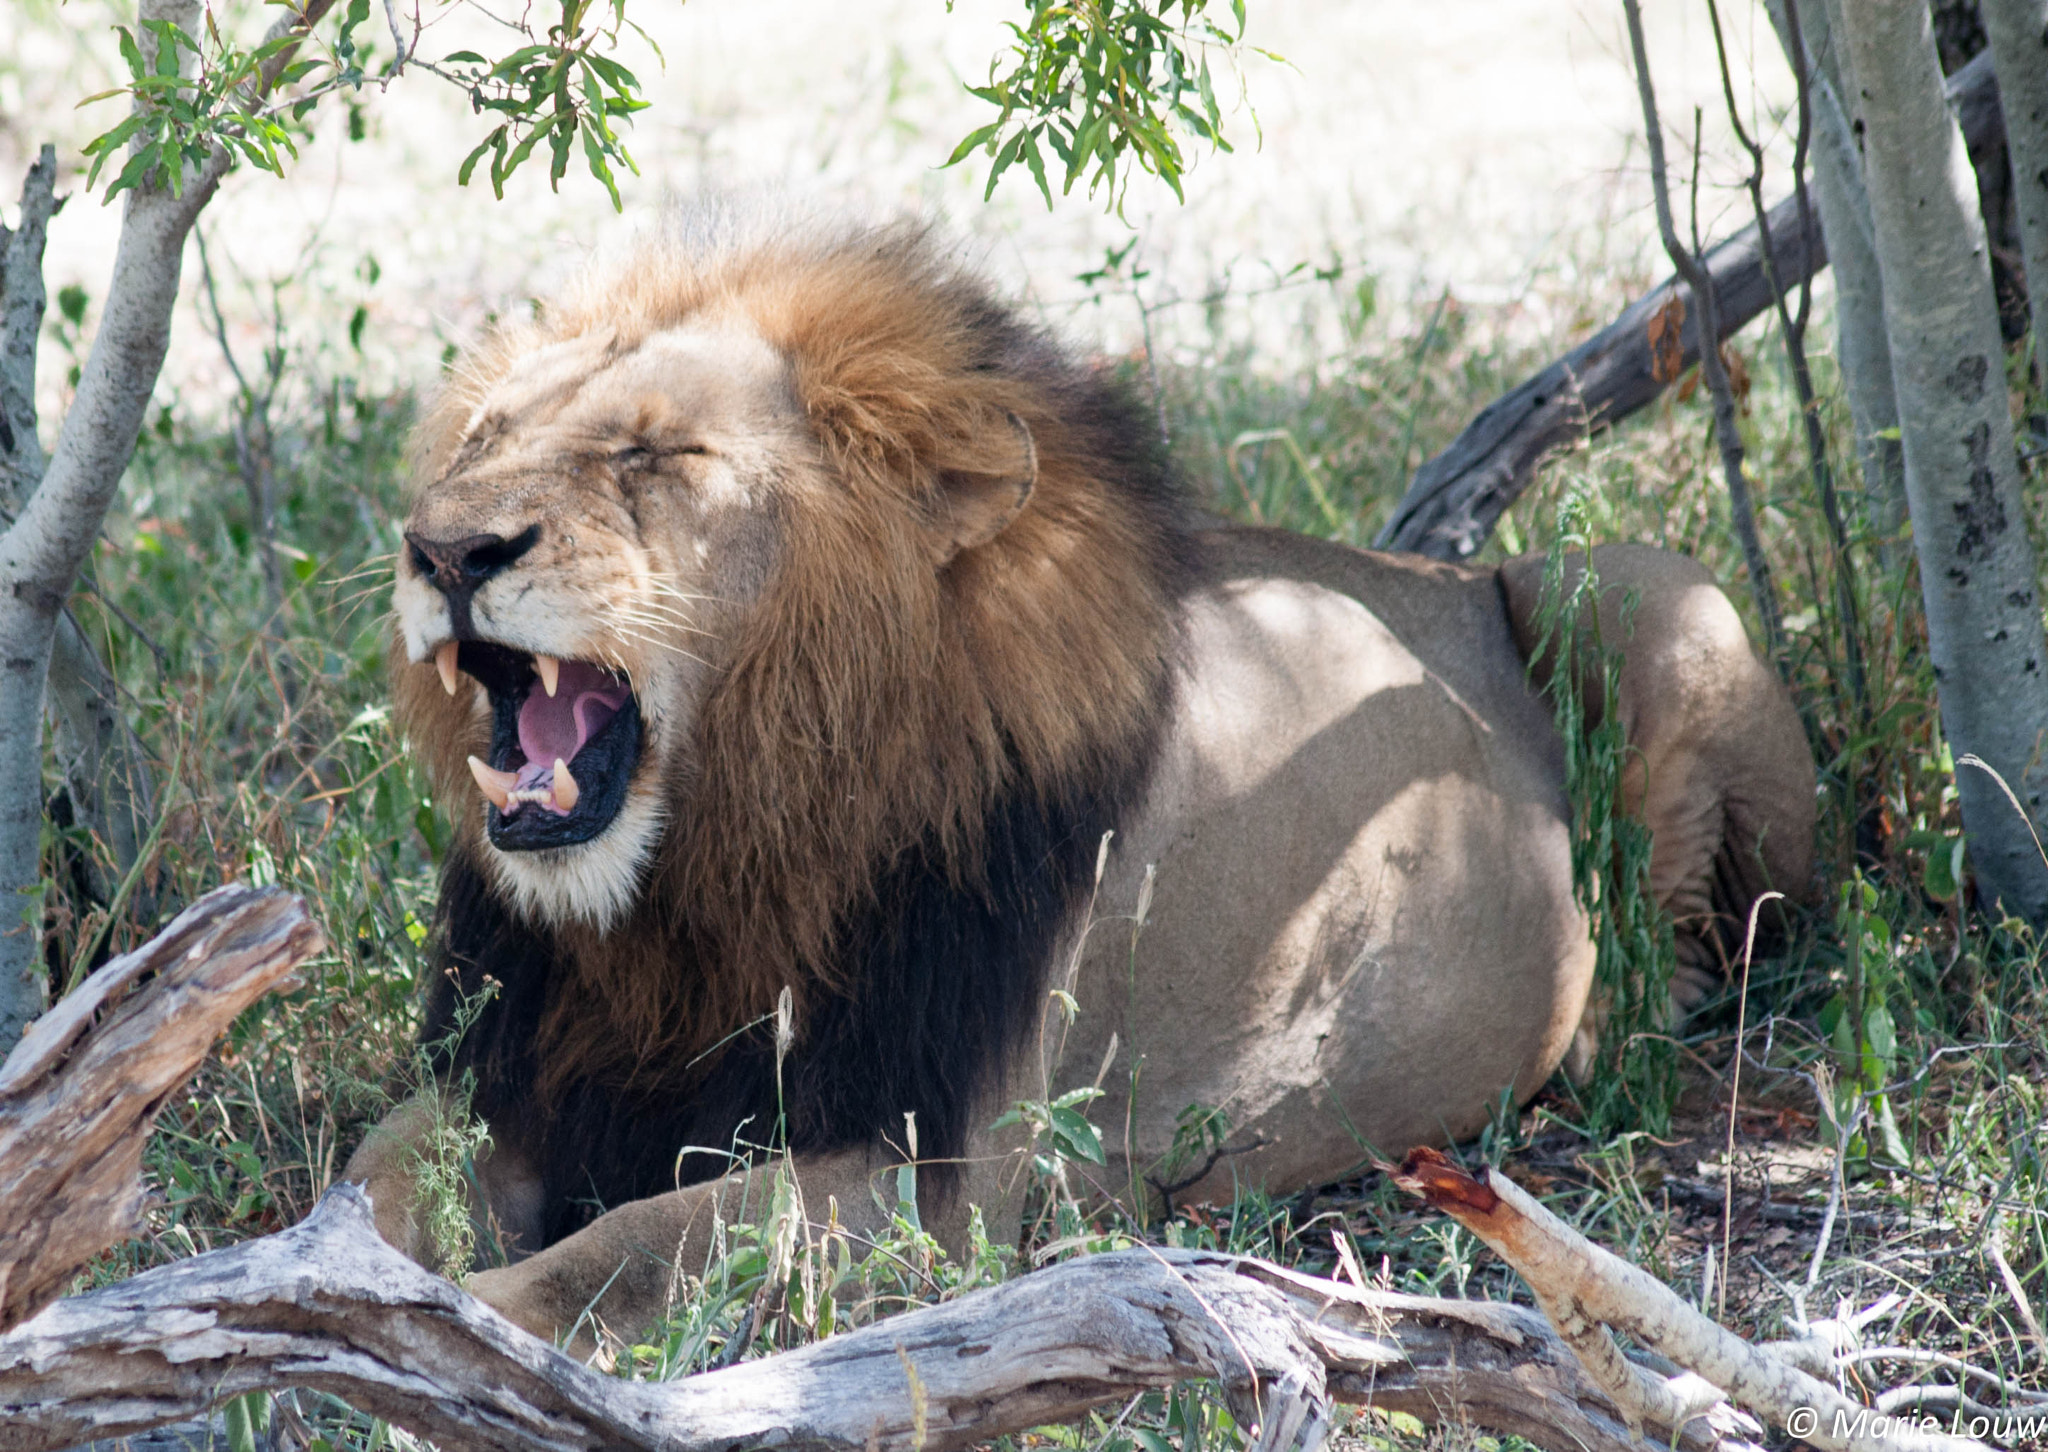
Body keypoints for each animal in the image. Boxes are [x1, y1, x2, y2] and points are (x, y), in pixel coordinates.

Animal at [345, 205, 1813, 1345]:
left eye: (652, 456)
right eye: (478, 442)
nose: (444, 550)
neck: (704, 872)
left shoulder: (929, 1175)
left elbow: (624, 1253)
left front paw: (457, 1329)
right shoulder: (516, 1074)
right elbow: (374, 1178)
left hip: (1628, 586)